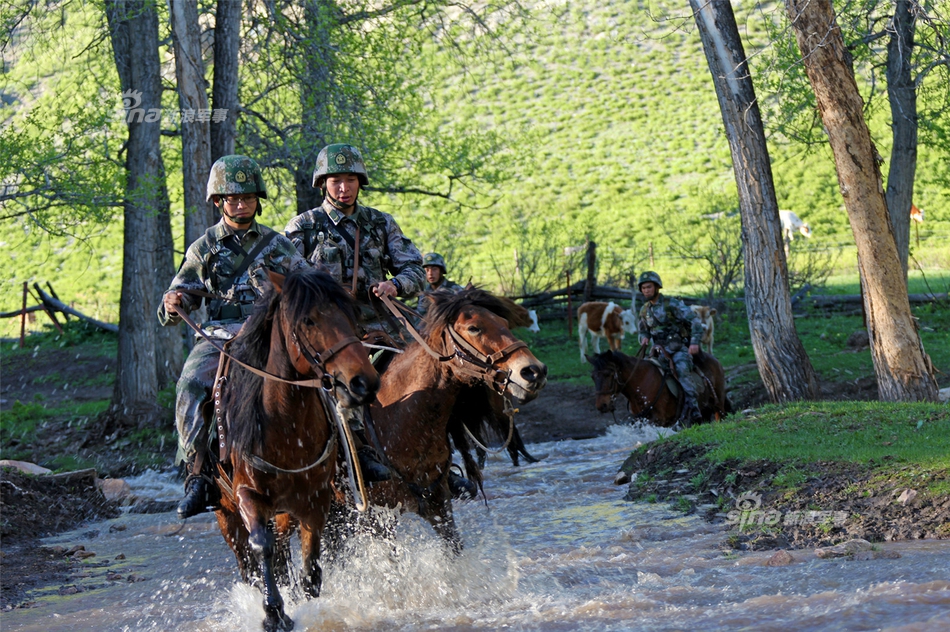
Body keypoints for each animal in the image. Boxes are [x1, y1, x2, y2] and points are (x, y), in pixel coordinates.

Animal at [216, 268, 380, 632]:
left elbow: (311, 571)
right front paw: (273, 614)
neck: (284, 427)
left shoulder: (314, 502)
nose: (364, 382)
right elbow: (262, 547)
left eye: (352, 314)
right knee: (249, 564)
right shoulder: (248, 496)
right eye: (308, 320)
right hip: (226, 516)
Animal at [588, 348, 736, 428]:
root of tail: (716, 361)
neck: (640, 383)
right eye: (593, 377)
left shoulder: (659, 419)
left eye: (608, 374)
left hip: (718, 405)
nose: (602, 405)